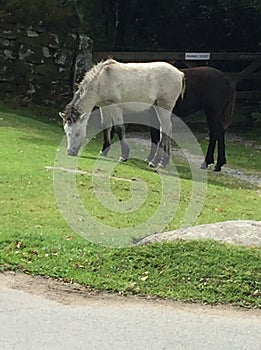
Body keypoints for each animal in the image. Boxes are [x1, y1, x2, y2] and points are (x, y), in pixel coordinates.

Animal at [100, 66, 235, 172]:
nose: (105, 147)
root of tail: (225, 79)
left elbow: (155, 135)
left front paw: (152, 158)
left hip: (212, 112)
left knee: (217, 132)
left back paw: (210, 163)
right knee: (216, 133)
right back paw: (216, 163)